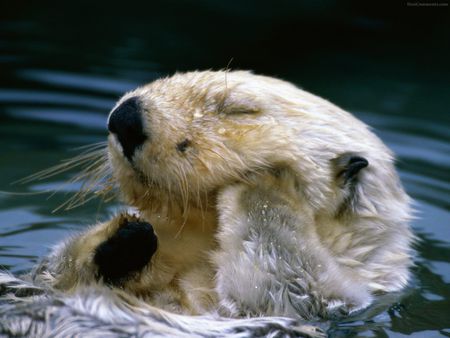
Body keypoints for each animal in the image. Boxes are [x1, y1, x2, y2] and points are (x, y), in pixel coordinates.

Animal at [0, 70, 414, 336]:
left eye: (239, 110)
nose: (125, 117)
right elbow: (55, 269)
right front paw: (125, 238)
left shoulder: (314, 301)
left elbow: (281, 269)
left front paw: (268, 182)